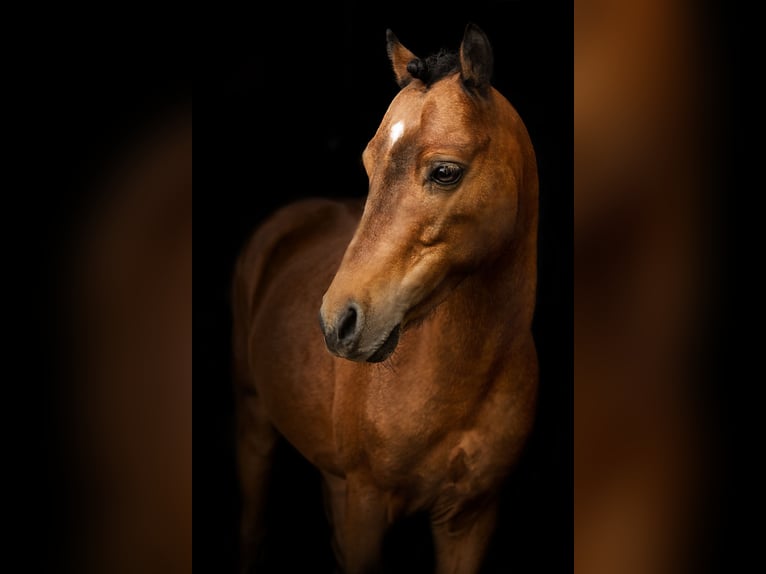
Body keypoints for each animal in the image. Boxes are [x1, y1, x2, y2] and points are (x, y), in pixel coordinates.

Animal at [233, 23, 538, 574]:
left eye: (445, 171)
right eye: (368, 164)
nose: (337, 322)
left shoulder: (470, 519)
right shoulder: (365, 507)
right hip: (253, 424)